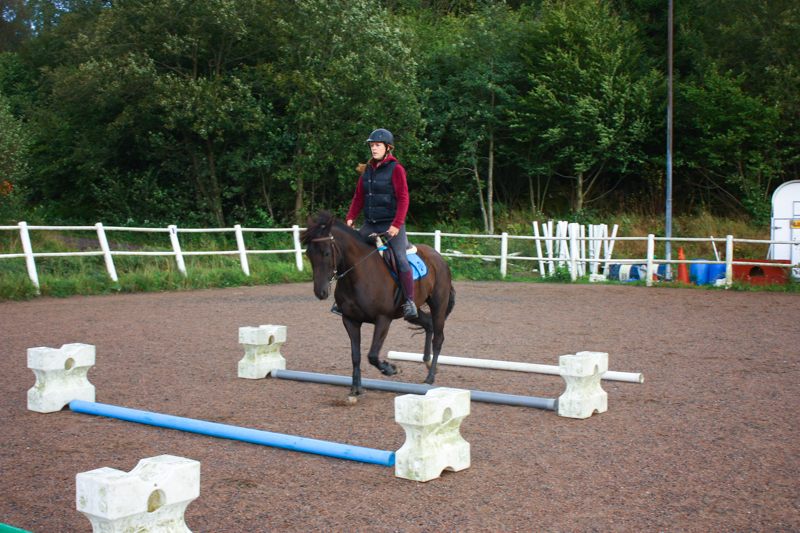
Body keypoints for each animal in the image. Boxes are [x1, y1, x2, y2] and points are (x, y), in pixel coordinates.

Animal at [301, 211, 456, 402]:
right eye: (308, 254)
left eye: (326, 253)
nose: (320, 292)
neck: (359, 274)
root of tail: (439, 256)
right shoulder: (350, 320)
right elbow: (356, 356)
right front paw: (355, 390)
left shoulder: (383, 319)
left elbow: (372, 355)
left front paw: (392, 369)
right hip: (413, 311)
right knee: (428, 324)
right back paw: (426, 362)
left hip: (438, 305)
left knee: (438, 338)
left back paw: (430, 377)